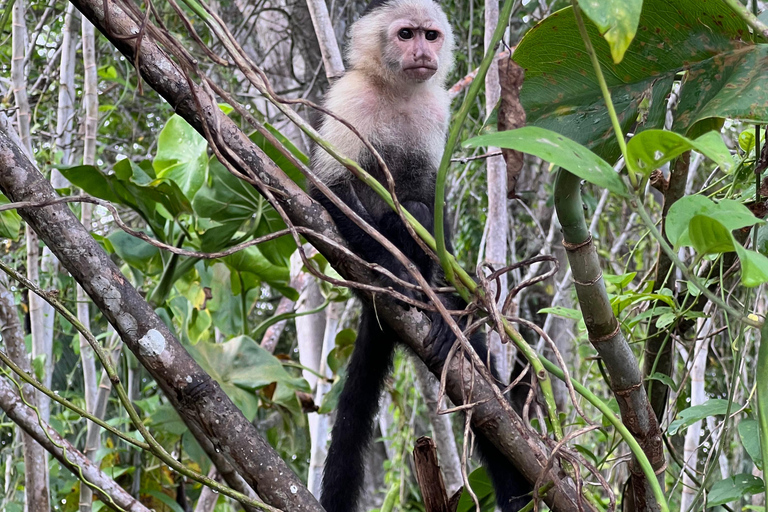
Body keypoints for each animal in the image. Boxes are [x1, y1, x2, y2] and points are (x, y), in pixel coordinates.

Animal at [306, 1, 536, 512]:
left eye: (430, 36)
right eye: (405, 34)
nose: (421, 53)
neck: (397, 92)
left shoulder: (437, 108)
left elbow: (435, 198)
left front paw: (447, 298)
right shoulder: (348, 98)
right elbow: (331, 188)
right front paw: (398, 274)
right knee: (402, 214)